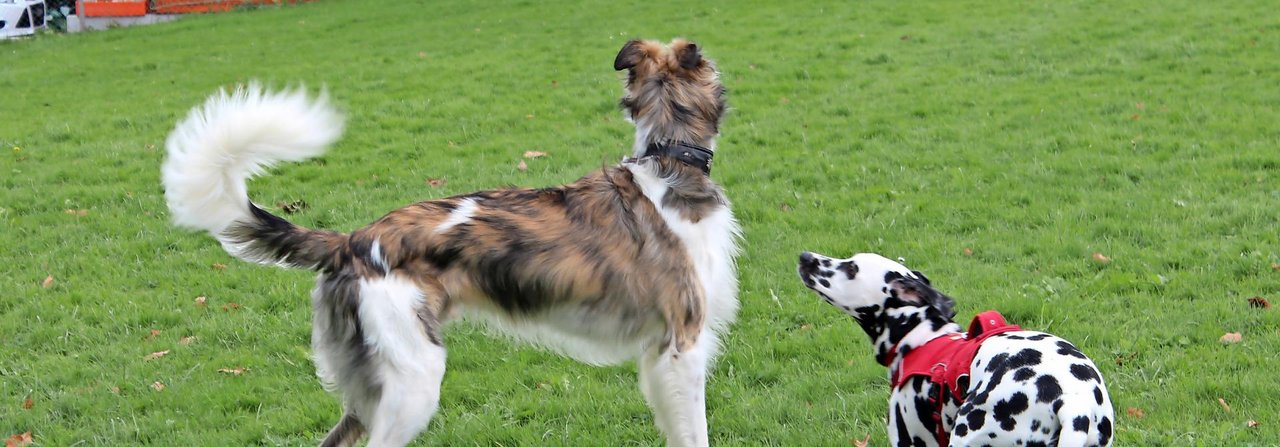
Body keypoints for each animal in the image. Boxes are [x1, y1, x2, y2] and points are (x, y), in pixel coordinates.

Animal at [161, 39, 742, 445]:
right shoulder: (681, 347)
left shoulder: (660, 356)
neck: (669, 163)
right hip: (412, 384)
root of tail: (354, 241)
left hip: (371, 392)